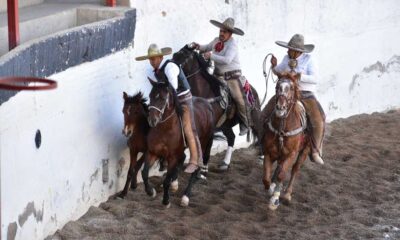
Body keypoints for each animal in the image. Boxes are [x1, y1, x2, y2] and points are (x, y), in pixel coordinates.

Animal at [143, 80, 217, 208]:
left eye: (162, 98)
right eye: (150, 96)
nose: (152, 120)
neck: (165, 129)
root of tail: (207, 104)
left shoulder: (172, 157)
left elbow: (166, 181)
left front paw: (166, 201)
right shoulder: (152, 152)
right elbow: (144, 173)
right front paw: (151, 192)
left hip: (202, 143)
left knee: (195, 166)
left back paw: (185, 196)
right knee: (183, 158)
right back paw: (175, 184)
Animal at [260, 78, 310, 210]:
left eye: (291, 88)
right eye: (277, 86)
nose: (280, 107)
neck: (283, 128)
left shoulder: (291, 154)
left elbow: (282, 175)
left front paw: (274, 199)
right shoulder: (269, 153)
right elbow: (266, 177)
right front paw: (271, 189)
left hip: (305, 150)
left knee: (295, 169)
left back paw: (287, 194)